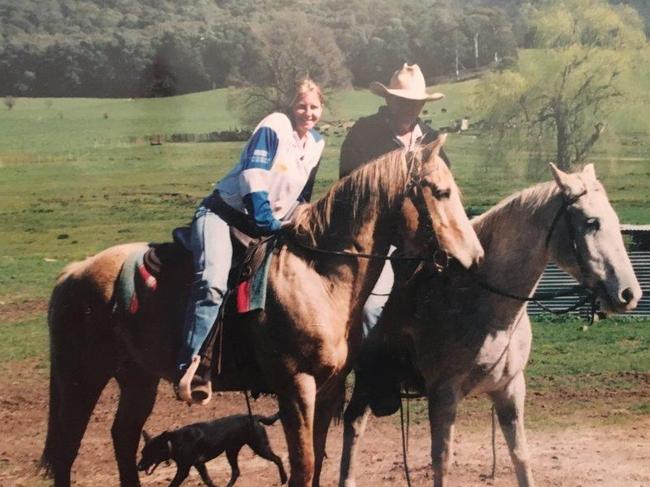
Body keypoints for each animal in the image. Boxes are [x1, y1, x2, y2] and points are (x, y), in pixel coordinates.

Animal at [137, 412, 286, 487]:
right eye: (142, 453)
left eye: (150, 453)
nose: (138, 467)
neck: (173, 442)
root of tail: (255, 417)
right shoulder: (198, 464)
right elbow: (207, 480)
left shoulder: (185, 469)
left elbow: (174, 484)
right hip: (231, 451)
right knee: (236, 471)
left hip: (259, 446)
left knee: (277, 459)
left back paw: (284, 479)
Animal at [336, 164, 640, 487]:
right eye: (591, 222)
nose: (629, 294)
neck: (481, 301)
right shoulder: (443, 396)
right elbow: (442, 462)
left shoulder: (510, 390)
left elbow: (520, 456)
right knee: (353, 425)